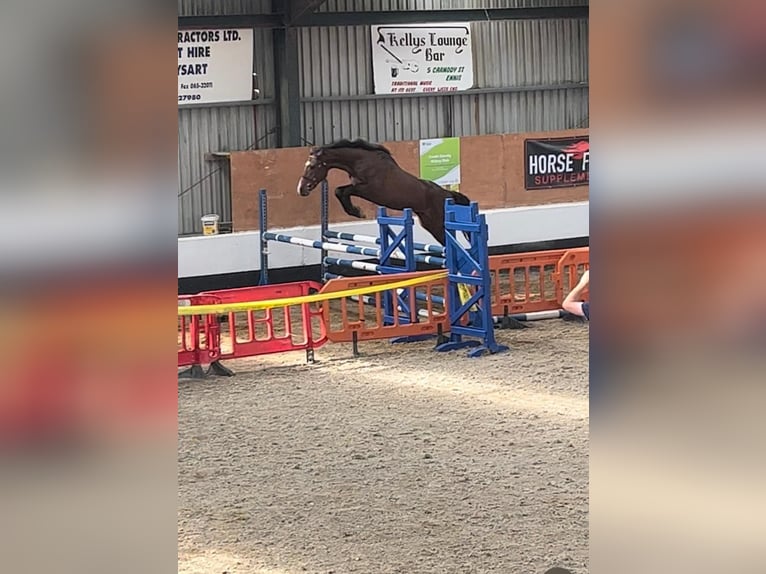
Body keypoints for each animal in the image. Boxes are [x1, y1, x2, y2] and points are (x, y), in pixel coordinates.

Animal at [296, 141, 472, 249]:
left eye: (312, 166)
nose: (301, 189)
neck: (361, 161)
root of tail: (447, 194)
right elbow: (339, 191)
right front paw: (356, 211)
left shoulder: (368, 190)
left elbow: (342, 191)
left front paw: (357, 212)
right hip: (429, 223)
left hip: (438, 224)